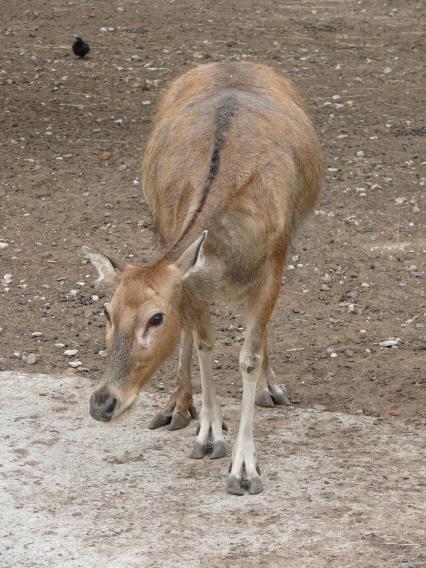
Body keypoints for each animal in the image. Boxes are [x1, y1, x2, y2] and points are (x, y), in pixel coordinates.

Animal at [82, 62, 322, 494]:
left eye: (155, 317)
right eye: (106, 312)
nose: (102, 403)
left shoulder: (272, 266)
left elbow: (248, 357)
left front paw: (244, 470)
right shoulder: (188, 280)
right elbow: (204, 342)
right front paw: (209, 434)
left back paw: (270, 388)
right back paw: (177, 407)